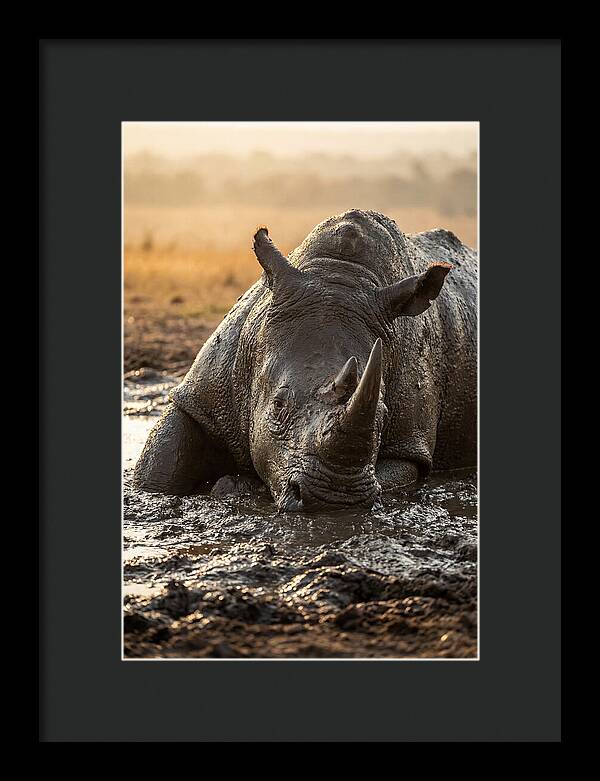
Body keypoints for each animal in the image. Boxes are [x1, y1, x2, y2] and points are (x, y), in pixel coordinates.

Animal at [133, 209, 477, 512]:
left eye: (383, 414)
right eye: (277, 405)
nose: (334, 498)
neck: (340, 274)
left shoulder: (410, 445)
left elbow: (397, 473)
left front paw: (236, 486)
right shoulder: (201, 396)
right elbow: (159, 468)